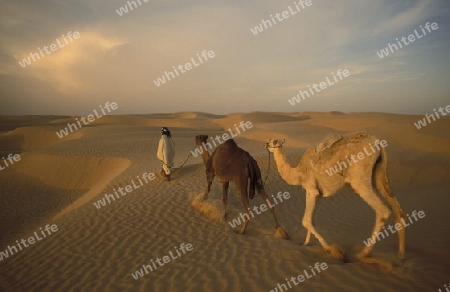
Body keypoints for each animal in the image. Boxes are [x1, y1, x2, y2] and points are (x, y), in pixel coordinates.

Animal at [266, 132, 406, 260]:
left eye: (274, 141)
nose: (266, 143)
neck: (298, 173)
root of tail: (378, 144)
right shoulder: (316, 193)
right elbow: (311, 219)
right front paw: (305, 243)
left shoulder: (311, 189)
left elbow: (305, 220)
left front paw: (332, 250)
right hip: (379, 174)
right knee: (397, 209)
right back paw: (400, 254)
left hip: (359, 179)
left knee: (383, 210)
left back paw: (363, 254)